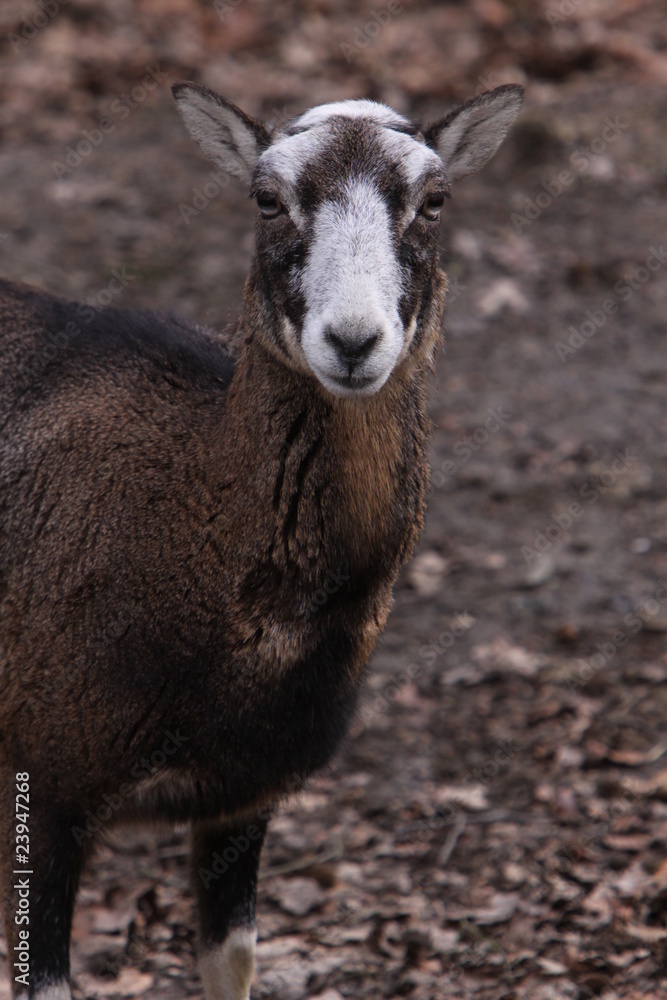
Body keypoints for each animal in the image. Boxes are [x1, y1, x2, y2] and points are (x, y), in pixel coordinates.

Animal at [0, 81, 523, 1000]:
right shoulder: (45, 785)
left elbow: (234, 961)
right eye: (265, 198)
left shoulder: (242, 799)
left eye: (434, 200)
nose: (352, 342)